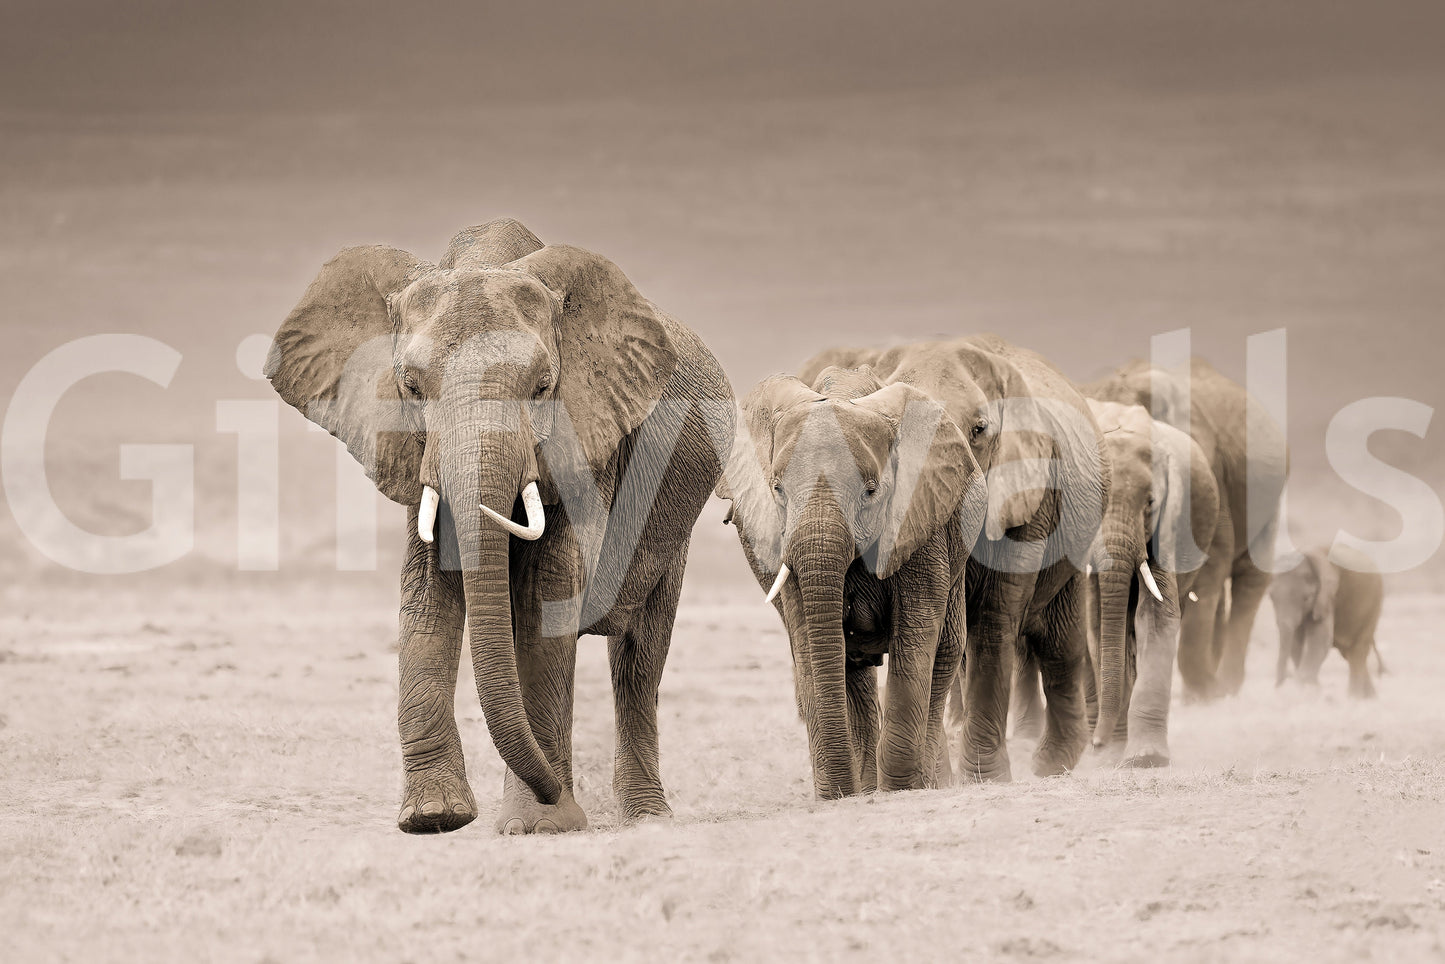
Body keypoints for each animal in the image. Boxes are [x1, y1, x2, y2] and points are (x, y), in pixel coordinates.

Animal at [266, 218, 734, 834]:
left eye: (542, 388)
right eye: (411, 388)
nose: (557, 793)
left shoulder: (580, 443)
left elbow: (543, 602)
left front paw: (541, 825)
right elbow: (426, 598)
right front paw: (434, 819)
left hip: (674, 513)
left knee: (640, 656)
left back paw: (646, 818)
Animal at [721, 335, 1106, 792]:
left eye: (871, 491)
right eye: (777, 489)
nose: (837, 793)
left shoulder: (949, 509)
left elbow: (959, 627)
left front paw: (939, 784)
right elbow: (811, 637)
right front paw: (850, 794)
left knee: (1043, 642)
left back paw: (1035, 768)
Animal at [1082, 399, 1219, 767]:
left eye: (1151, 504)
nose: (1097, 742)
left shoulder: (1170, 521)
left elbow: (1155, 615)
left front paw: (1145, 759)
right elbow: (1096, 623)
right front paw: (1111, 755)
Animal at [1269, 544, 1384, 698]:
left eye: (1306, 599)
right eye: (1271, 597)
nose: (1278, 686)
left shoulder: (1326, 598)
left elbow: (1320, 639)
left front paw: (1301, 687)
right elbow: (1296, 642)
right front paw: (1311, 688)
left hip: (1372, 606)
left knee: (1357, 652)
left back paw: (1355, 698)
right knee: (1348, 653)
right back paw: (1370, 698)